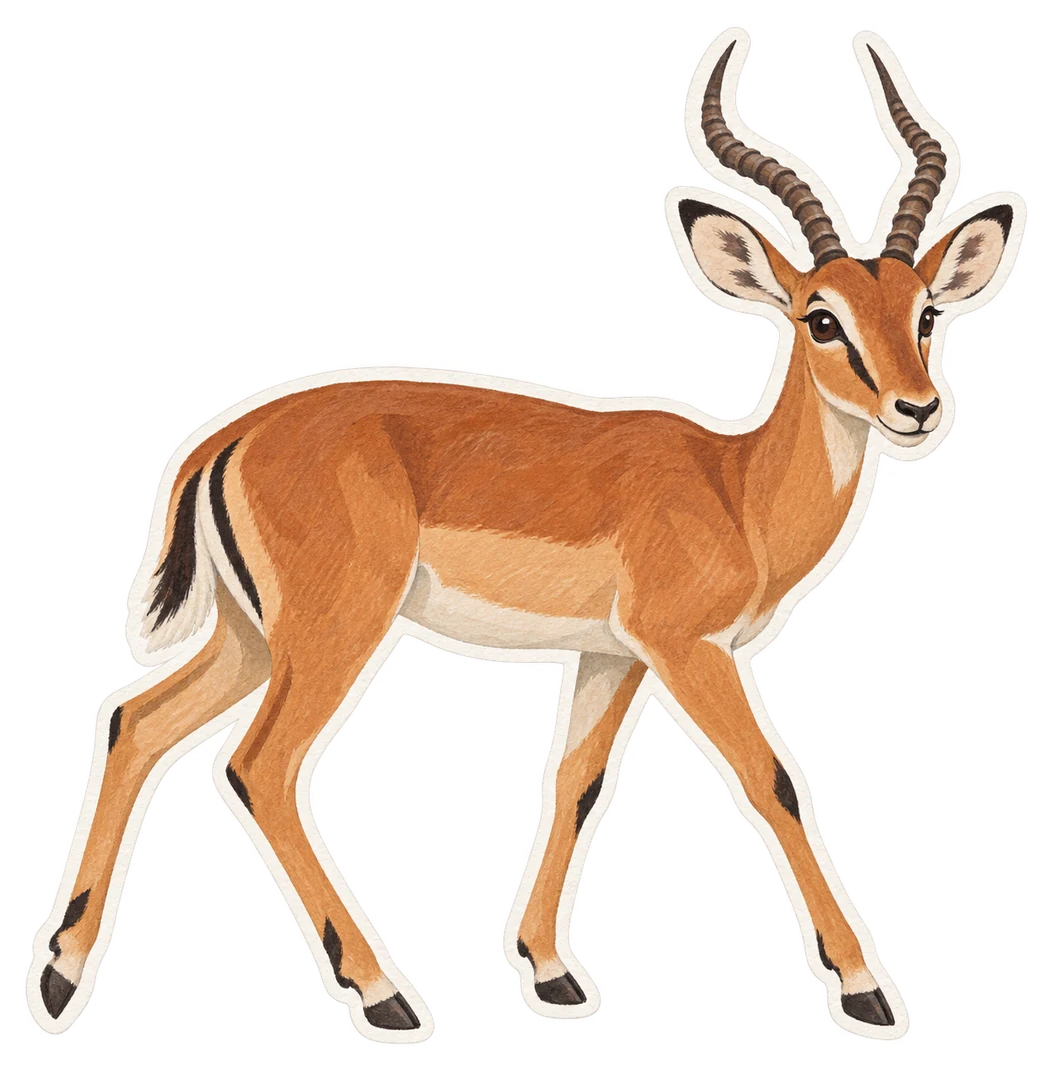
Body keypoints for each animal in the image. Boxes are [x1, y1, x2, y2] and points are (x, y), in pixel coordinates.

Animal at [28, 28, 1022, 1043]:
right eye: (822, 317)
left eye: (925, 311)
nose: (918, 408)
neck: (733, 486)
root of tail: (226, 438)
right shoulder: (686, 647)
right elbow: (773, 778)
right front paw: (864, 989)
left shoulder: (613, 656)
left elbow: (576, 783)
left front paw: (551, 976)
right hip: (332, 634)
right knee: (258, 765)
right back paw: (384, 994)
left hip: (253, 639)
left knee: (137, 721)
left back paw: (62, 976)